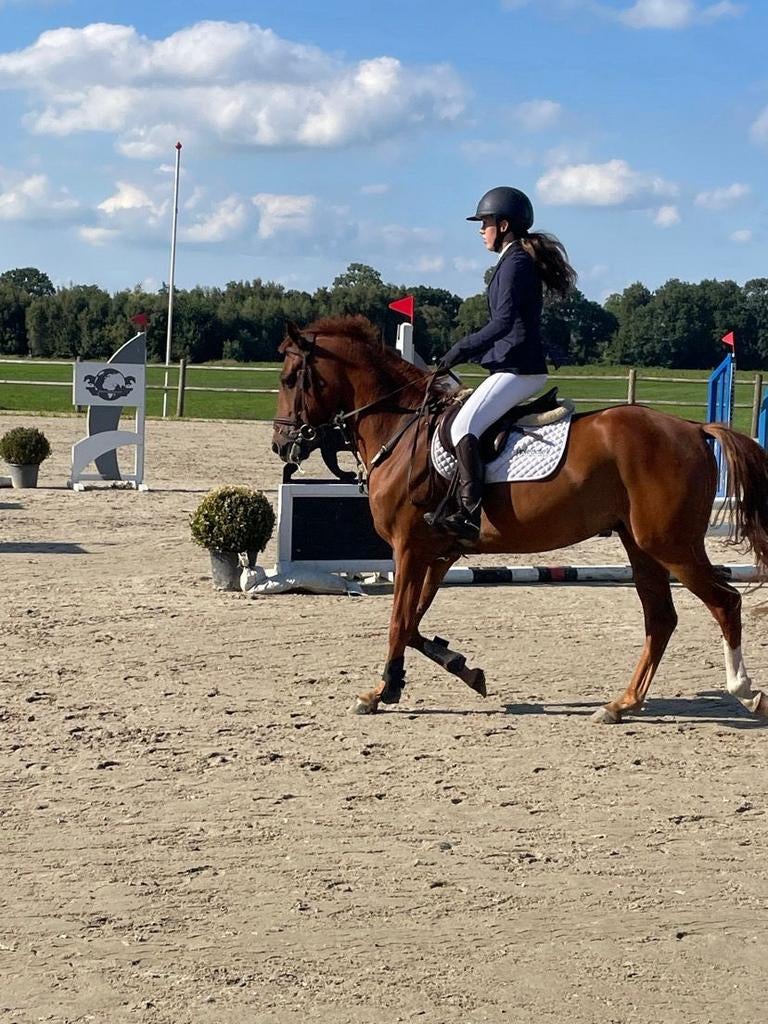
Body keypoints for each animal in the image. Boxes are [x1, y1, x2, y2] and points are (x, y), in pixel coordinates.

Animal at [272, 315, 768, 724]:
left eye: (291, 378)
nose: (281, 445)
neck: (401, 430)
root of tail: (693, 429)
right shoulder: (438, 553)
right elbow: (411, 623)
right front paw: (462, 670)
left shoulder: (409, 548)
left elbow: (397, 622)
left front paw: (382, 692)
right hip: (641, 546)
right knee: (660, 618)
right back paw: (622, 704)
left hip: (671, 545)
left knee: (725, 603)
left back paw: (745, 692)